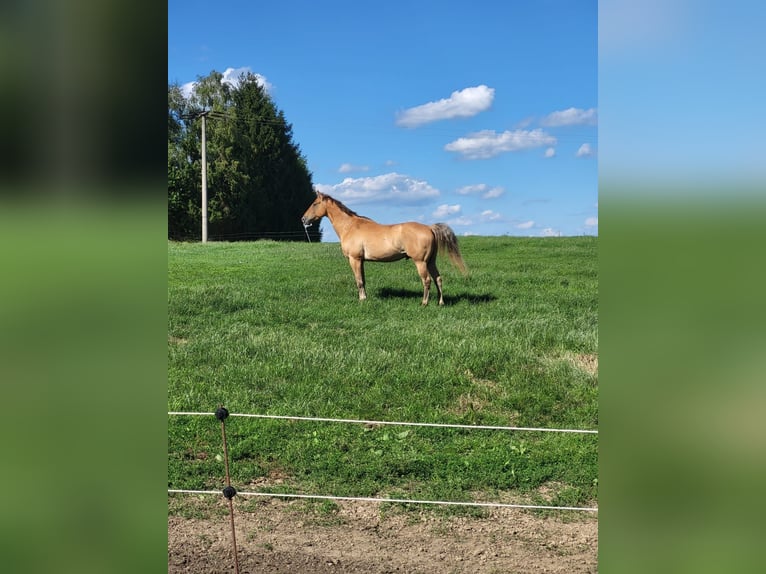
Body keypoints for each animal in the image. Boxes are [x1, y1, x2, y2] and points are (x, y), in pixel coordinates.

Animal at [301, 192, 467, 305]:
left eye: (315, 203)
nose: (303, 219)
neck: (350, 226)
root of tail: (429, 228)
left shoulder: (354, 259)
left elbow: (358, 280)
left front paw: (361, 299)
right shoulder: (361, 261)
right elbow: (363, 280)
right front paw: (365, 298)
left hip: (421, 262)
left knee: (426, 280)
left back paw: (424, 303)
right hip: (431, 261)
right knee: (438, 278)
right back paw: (440, 302)